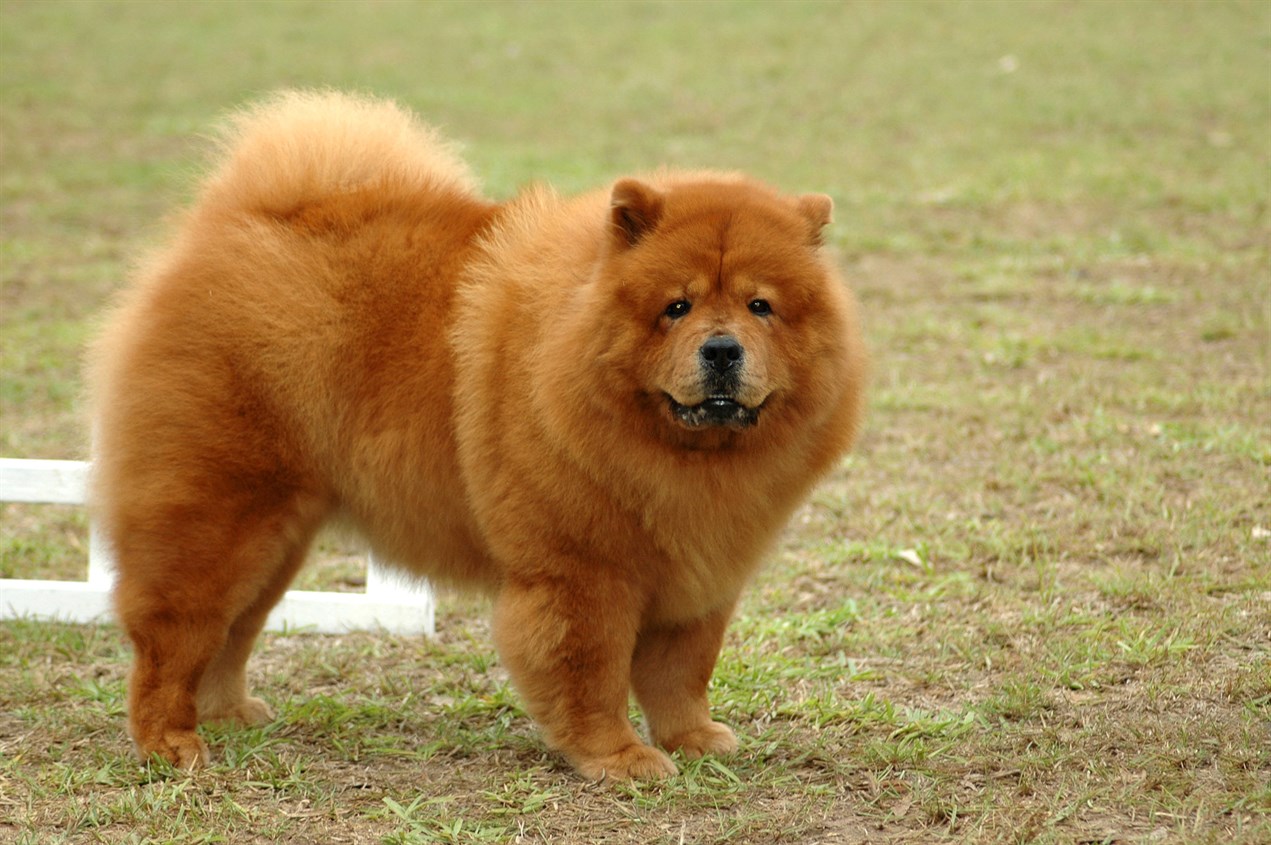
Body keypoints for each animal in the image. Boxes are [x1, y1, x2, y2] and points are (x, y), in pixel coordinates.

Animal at [89, 92, 869, 777]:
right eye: (675, 307)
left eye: (761, 306)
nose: (721, 349)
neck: (681, 456)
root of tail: (227, 222)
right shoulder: (581, 573)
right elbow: (592, 673)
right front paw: (618, 759)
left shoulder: (700, 571)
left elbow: (683, 669)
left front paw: (694, 739)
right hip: (219, 513)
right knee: (175, 632)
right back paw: (171, 743)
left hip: (279, 534)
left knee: (234, 630)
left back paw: (229, 714)